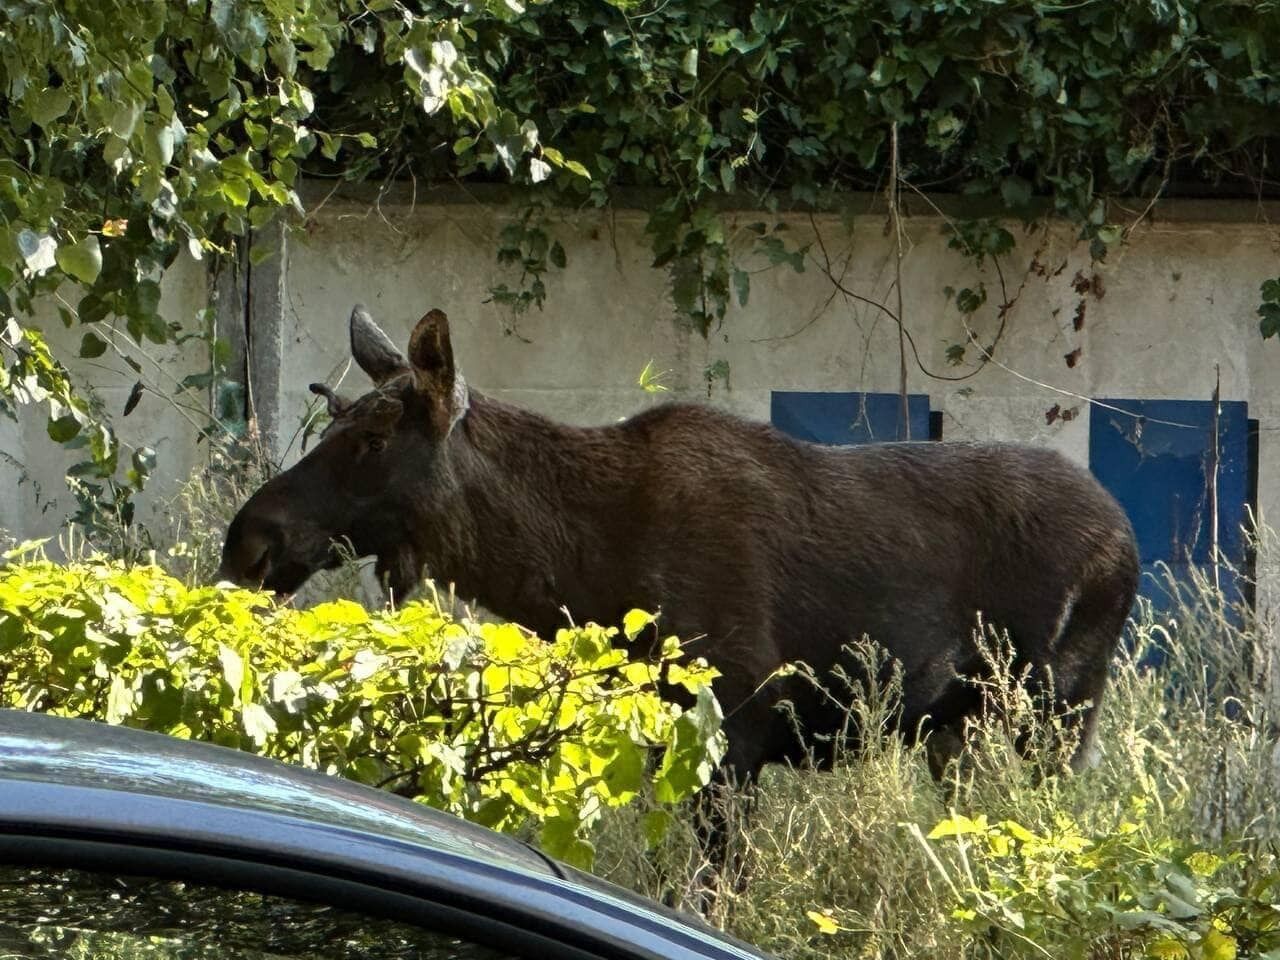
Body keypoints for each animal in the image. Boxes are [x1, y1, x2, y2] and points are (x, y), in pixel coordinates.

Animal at [217, 304, 1141, 870]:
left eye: (372, 438)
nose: (249, 541)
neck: (583, 572)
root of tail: (1127, 538)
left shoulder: (737, 732)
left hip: (1055, 711)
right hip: (961, 729)